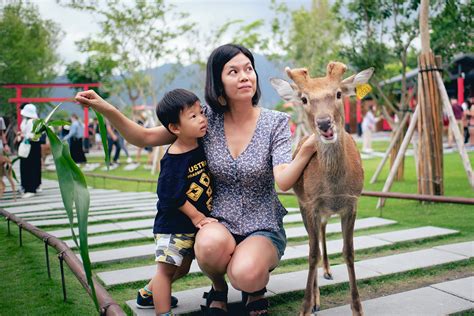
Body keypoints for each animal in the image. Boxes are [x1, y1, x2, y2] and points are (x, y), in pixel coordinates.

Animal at [270, 60, 374, 314]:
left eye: (338, 93)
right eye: (304, 98)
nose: (324, 123)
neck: (334, 187)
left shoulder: (352, 203)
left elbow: (349, 252)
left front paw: (357, 308)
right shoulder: (310, 204)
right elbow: (311, 254)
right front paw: (306, 306)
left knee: (324, 232)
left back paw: (328, 271)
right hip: (305, 205)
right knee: (314, 241)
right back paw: (317, 297)